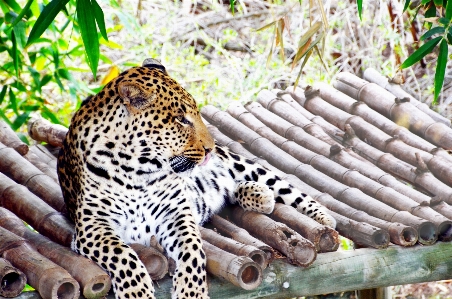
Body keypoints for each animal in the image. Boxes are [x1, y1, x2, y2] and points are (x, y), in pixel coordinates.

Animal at [57, 58, 336, 299]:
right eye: (180, 119)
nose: (210, 148)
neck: (138, 169)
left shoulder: (175, 214)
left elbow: (193, 252)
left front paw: (191, 292)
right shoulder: (93, 226)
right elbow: (124, 257)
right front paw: (137, 293)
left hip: (242, 164)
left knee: (287, 189)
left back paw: (323, 220)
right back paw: (258, 196)